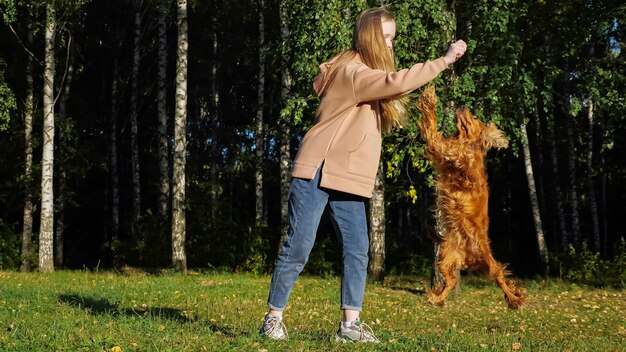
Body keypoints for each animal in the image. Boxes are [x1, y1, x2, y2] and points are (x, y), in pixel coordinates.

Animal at [416, 84, 524, 308]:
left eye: (474, 116)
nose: (463, 106)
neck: (467, 142)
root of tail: (468, 258)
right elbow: (431, 131)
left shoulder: (452, 152)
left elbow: (433, 130)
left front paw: (429, 99)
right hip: (445, 259)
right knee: (450, 280)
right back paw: (436, 297)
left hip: (487, 259)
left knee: (499, 276)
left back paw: (514, 298)